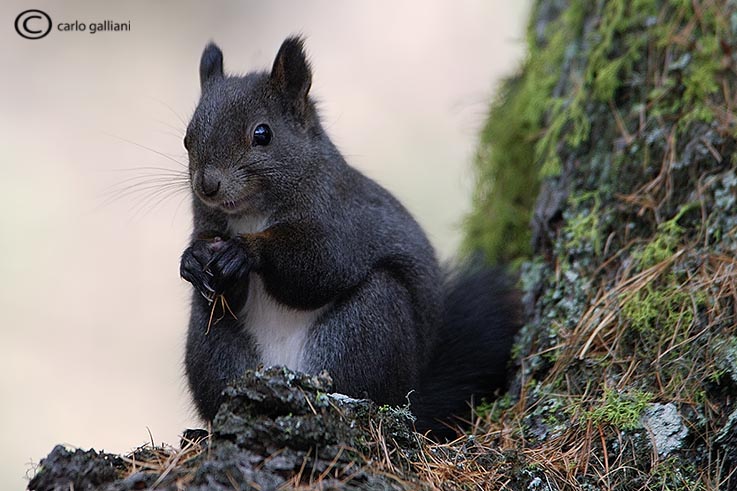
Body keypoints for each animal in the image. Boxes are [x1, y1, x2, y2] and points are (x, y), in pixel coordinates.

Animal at [180, 37, 520, 438]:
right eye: (187, 139)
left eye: (262, 134)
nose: (207, 186)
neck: (251, 214)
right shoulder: (209, 227)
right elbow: (227, 291)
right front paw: (191, 260)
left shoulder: (341, 220)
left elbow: (320, 268)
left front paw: (246, 251)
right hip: (213, 349)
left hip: (369, 325)